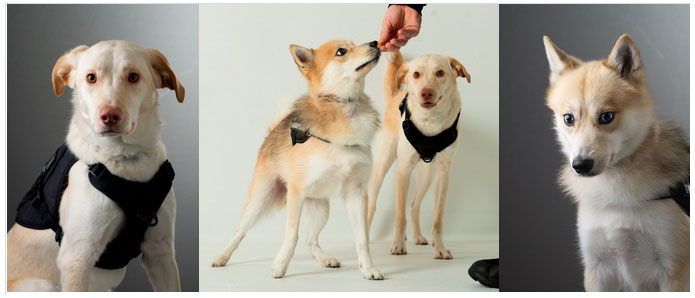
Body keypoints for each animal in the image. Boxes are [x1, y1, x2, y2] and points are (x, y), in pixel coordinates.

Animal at [6, 40, 185, 292]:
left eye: (133, 76)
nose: (109, 115)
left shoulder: (161, 253)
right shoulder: (77, 259)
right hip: (44, 285)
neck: (125, 160)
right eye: (91, 78)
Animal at [212, 39, 386, 280]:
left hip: (320, 208)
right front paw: (280, 265)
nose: (375, 42)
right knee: (240, 231)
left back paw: (325, 259)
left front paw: (368, 268)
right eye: (341, 51)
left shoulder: (357, 194)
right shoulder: (296, 192)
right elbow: (291, 234)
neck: (345, 111)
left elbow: (362, 238)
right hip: (261, 199)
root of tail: (271, 133)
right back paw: (222, 256)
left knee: (310, 240)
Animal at [368, 52, 470, 260]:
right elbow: (400, 216)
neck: (431, 121)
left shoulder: (443, 173)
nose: (426, 93)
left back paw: (418, 237)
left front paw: (439, 248)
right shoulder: (403, 171)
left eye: (440, 73)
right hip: (381, 166)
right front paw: (398, 245)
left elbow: (438, 218)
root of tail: (396, 95)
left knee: (415, 205)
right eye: (416, 74)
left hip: (425, 177)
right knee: (371, 205)